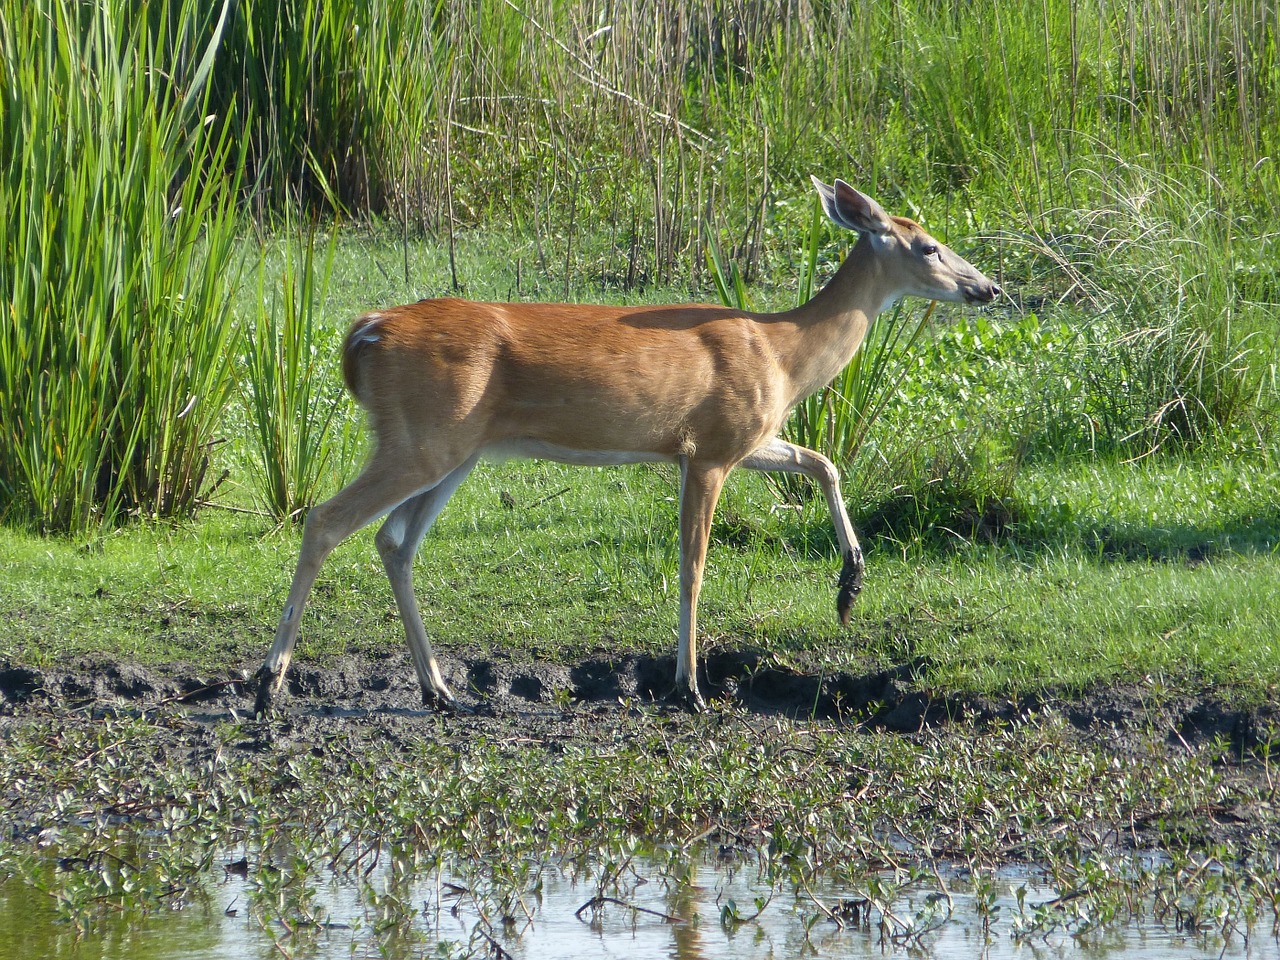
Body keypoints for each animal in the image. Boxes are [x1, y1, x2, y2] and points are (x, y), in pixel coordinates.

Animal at [252, 179, 998, 716]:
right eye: (928, 246)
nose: (986, 286)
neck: (784, 355)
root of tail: (363, 334)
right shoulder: (710, 450)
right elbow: (693, 567)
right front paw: (689, 689)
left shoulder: (742, 437)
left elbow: (824, 462)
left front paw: (850, 585)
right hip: (424, 439)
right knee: (326, 519)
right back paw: (268, 683)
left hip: (455, 450)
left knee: (394, 542)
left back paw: (441, 690)